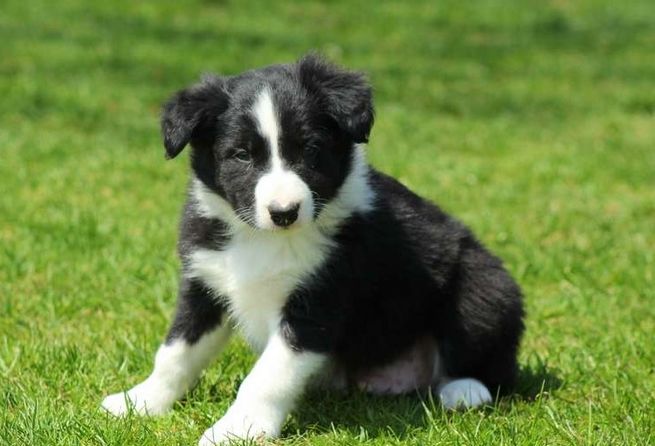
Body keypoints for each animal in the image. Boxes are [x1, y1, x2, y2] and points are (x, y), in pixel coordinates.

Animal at [101, 55, 524, 446]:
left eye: (310, 149)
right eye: (241, 155)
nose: (284, 212)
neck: (263, 239)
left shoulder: (318, 301)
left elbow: (267, 376)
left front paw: (238, 429)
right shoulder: (205, 282)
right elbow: (176, 352)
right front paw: (140, 401)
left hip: (483, 283)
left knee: (494, 365)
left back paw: (464, 389)